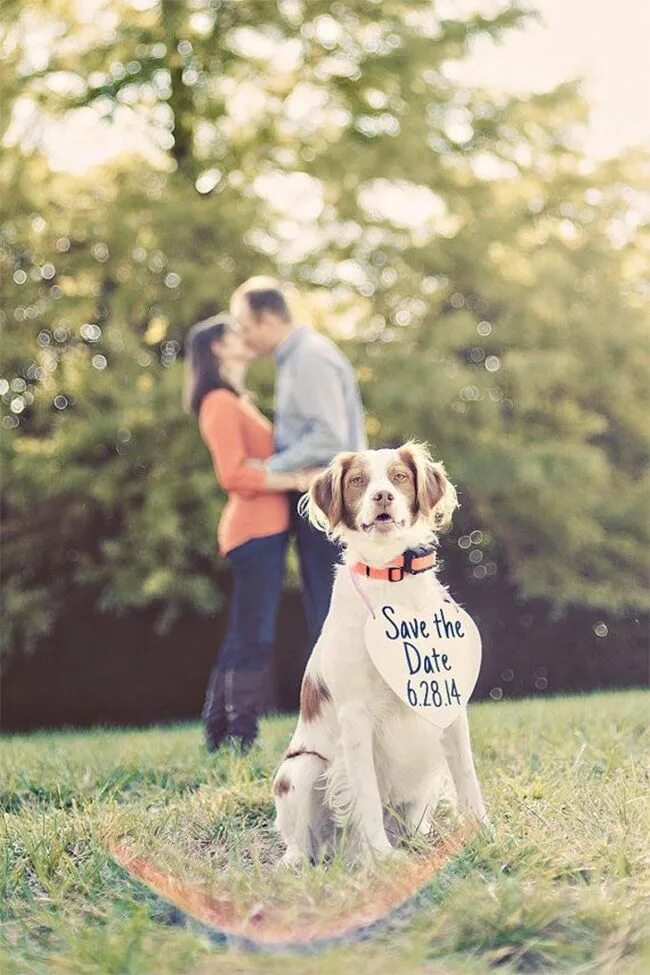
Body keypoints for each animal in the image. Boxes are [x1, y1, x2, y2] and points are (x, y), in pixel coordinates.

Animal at [270, 444, 486, 868]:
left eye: (399, 476)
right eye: (358, 481)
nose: (382, 496)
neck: (391, 578)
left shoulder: (446, 699)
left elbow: (467, 776)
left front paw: (484, 834)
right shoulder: (356, 714)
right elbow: (366, 793)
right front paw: (381, 857)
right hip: (301, 768)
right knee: (302, 843)